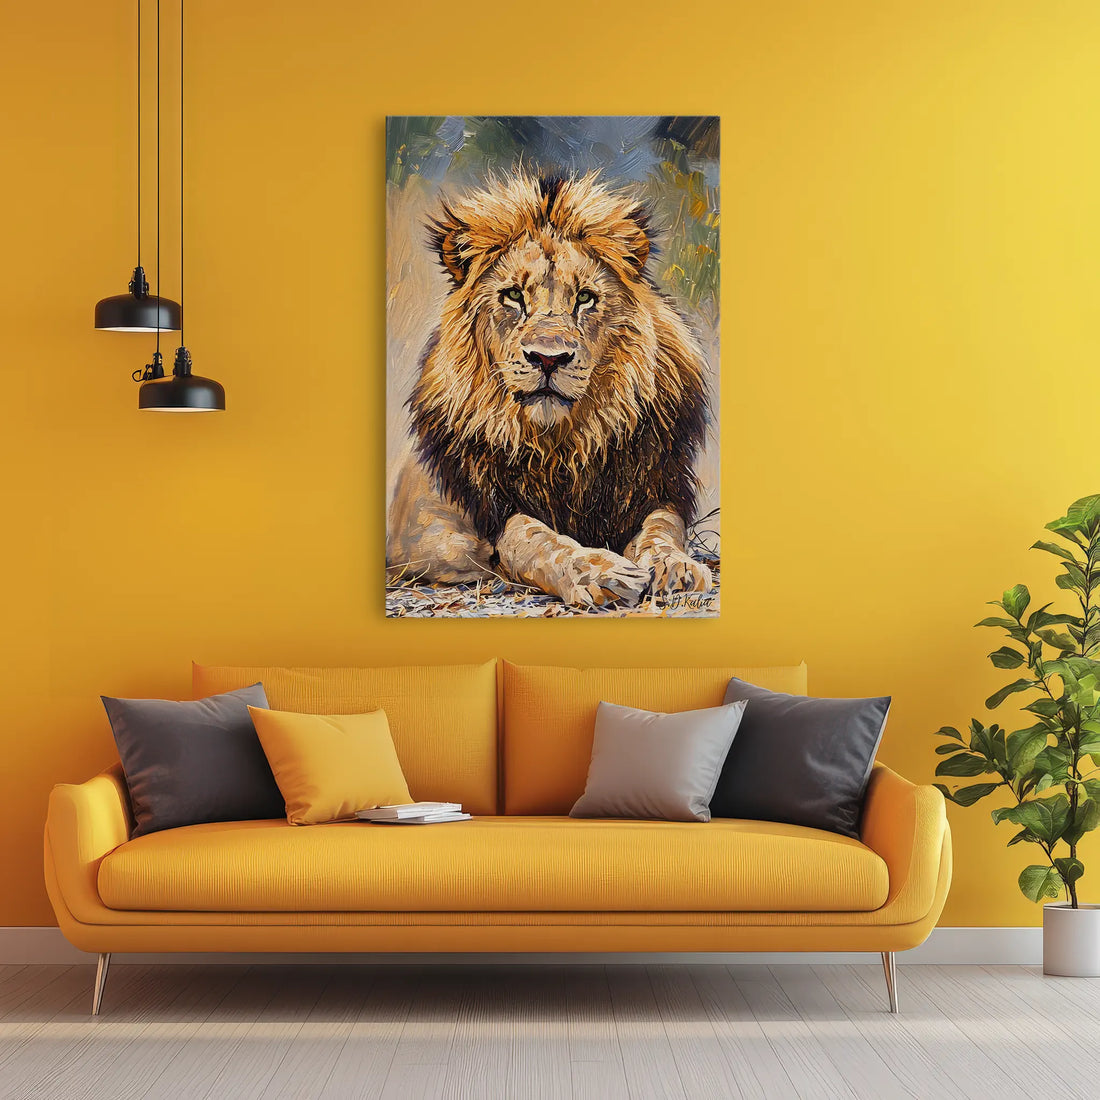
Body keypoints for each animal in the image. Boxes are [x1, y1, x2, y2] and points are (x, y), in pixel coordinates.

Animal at [387, 170, 714, 609]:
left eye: (585, 298)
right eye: (513, 295)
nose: (548, 358)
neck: (562, 443)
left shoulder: (657, 484)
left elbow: (661, 529)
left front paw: (676, 567)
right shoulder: (477, 514)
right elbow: (533, 538)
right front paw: (599, 572)